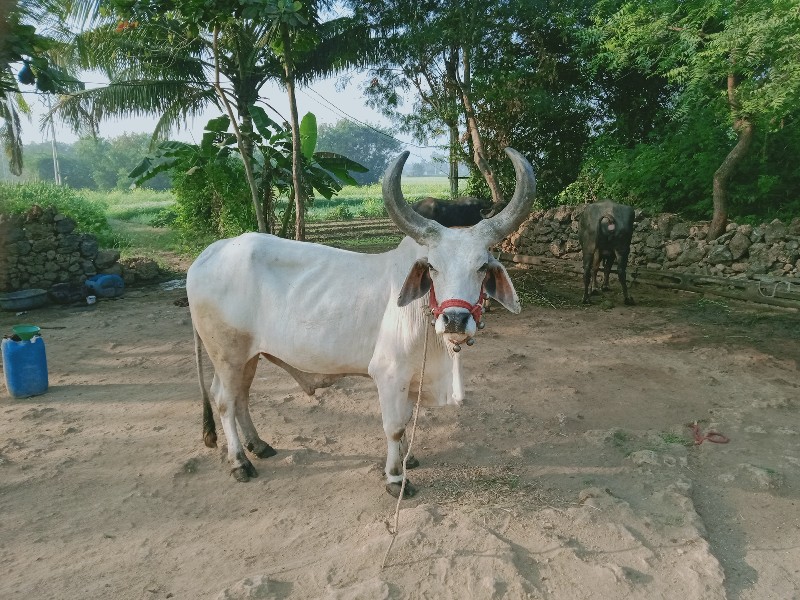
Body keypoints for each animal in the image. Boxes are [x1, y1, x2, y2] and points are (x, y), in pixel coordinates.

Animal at [188, 146, 536, 496]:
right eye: (433, 267)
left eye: (482, 267)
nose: (454, 320)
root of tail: (208, 255)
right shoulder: (389, 372)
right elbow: (395, 426)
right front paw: (396, 478)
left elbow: (406, 417)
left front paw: (409, 459)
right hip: (228, 354)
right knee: (224, 400)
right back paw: (239, 462)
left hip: (249, 355)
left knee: (241, 396)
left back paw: (258, 445)